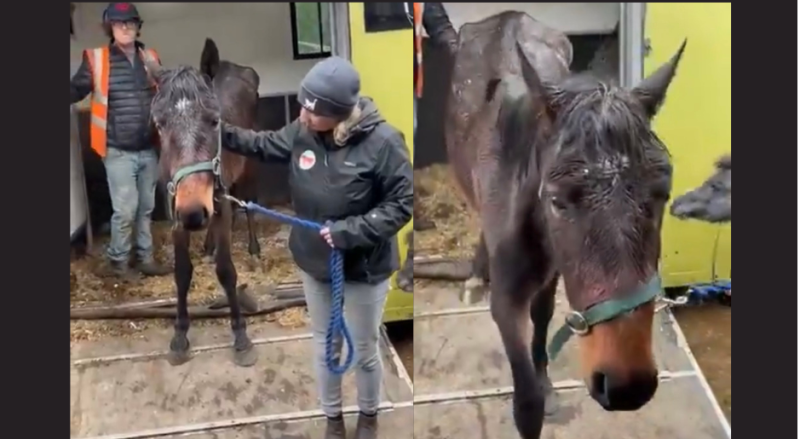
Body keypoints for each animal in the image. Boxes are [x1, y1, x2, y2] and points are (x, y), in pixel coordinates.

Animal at [141, 40, 261, 368]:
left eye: (214, 121)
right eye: (159, 124)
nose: (194, 212)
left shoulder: (220, 205)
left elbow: (226, 271)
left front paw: (240, 336)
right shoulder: (176, 215)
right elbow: (182, 272)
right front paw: (180, 335)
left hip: (247, 171)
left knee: (249, 204)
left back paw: (254, 249)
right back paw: (208, 245)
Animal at [444, 11, 686, 438]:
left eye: (663, 193)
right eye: (557, 200)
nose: (627, 385)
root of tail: (509, 15)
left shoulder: (554, 271)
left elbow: (542, 316)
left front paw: (546, 381)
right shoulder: (506, 301)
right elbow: (527, 405)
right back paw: (474, 276)